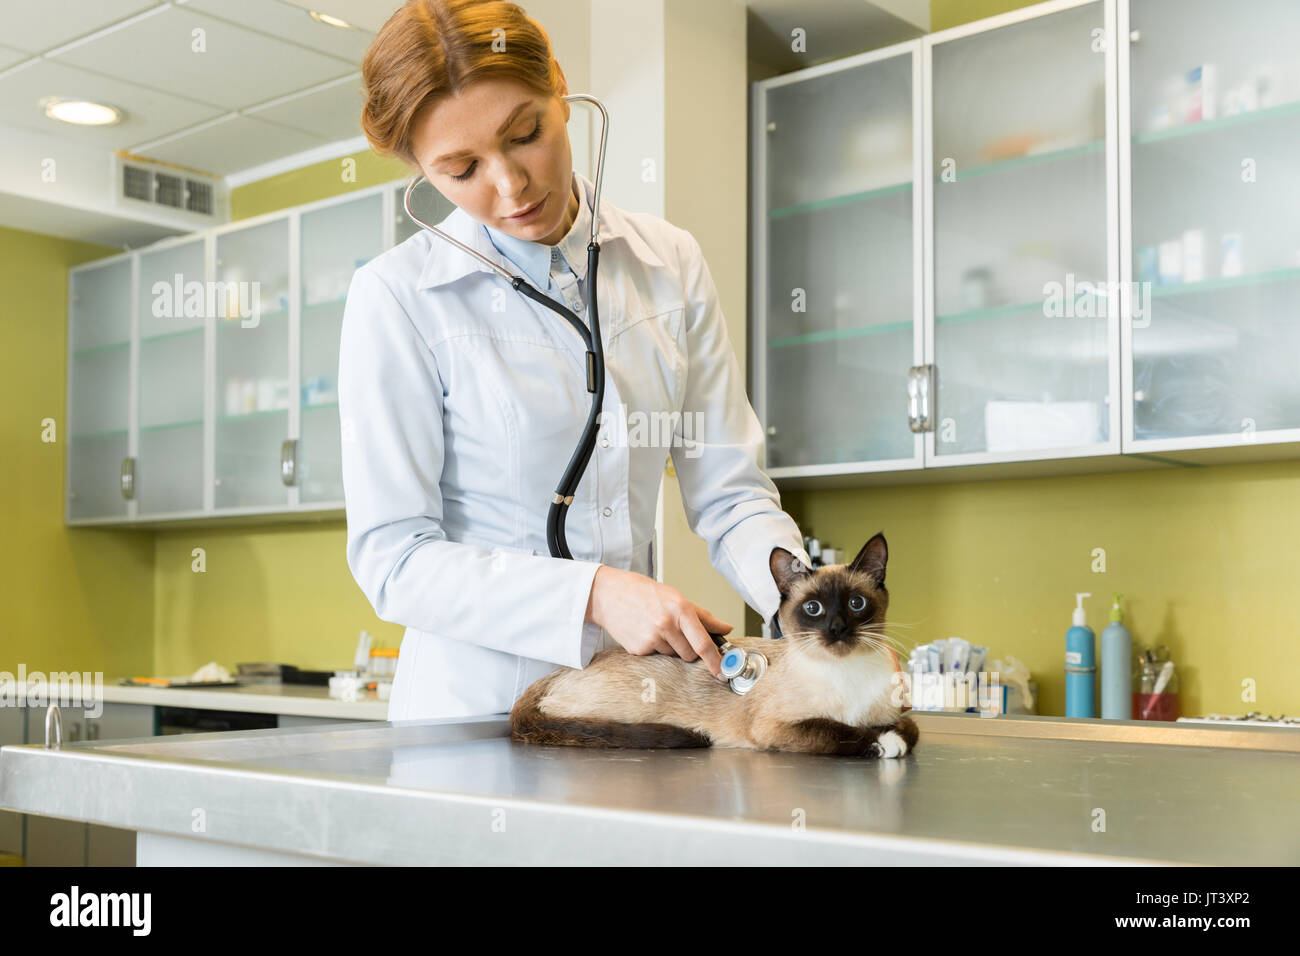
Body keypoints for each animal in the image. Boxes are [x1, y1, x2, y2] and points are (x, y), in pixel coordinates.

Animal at [506, 535, 915, 759]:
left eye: (856, 604)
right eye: (813, 609)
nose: (837, 629)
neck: (848, 673)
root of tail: (563, 670)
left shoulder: (897, 711)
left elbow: (908, 728)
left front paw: (893, 738)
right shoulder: (777, 728)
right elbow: (838, 731)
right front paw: (884, 744)